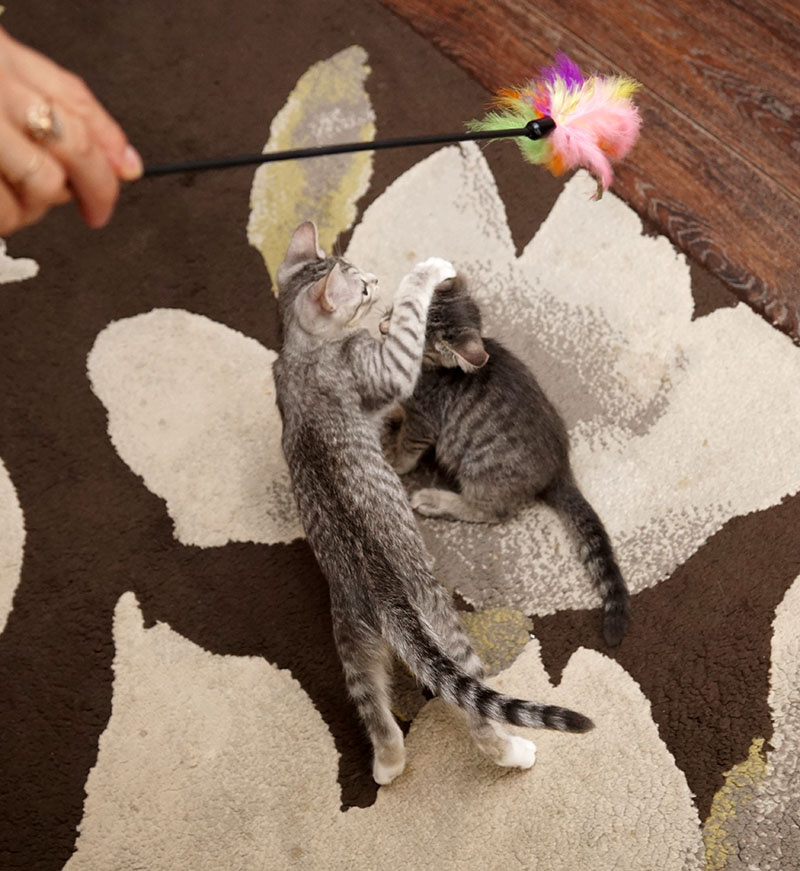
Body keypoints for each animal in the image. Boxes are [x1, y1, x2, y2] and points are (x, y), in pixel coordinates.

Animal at [273, 222, 593, 786]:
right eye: (361, 289)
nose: (376, 281)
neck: (299, 355)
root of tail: (387, 604)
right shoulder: (388, 373)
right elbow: (400, 384)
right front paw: (426, 274)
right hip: (443, 624)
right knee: (476, 706)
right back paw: (513, 752)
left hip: (352, 641)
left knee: (376, 713)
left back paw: (389, 765)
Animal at [381, 274, 630, 647]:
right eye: (399, 308)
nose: (384, 327)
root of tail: (560, 466)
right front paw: (390, 413)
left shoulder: (424, 423)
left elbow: (408, 450)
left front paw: (393, 457)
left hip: (481, 469)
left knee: (494, 511)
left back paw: (435, 500)